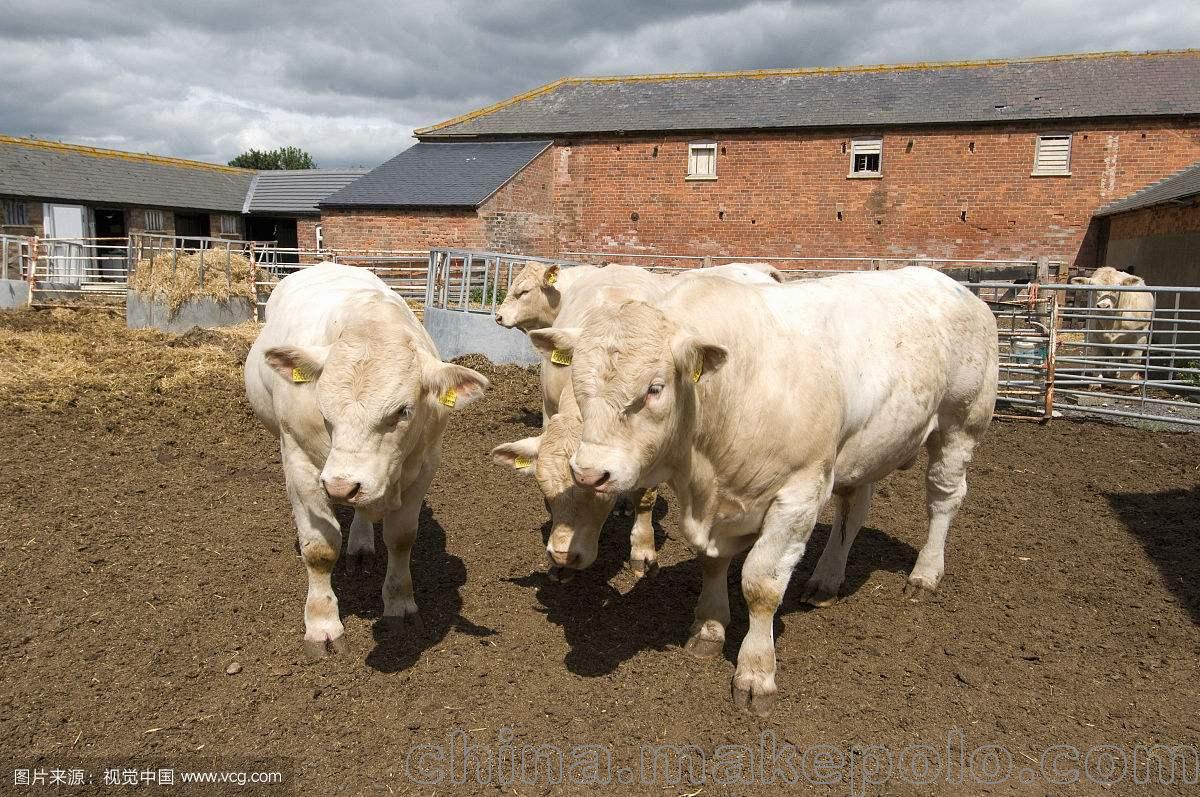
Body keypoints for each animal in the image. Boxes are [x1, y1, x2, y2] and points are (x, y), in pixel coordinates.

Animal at [243, 264, 487, 657]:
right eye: (323, 409)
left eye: (403, 411)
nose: (341, 486)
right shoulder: (298, 462)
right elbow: (319, 548)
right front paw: (322, 624)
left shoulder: (425, 464)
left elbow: (401, 537)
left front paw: (400, 606)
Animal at [532, 267, 993, 715]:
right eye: (578, 384)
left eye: (654, 388)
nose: (590, 473)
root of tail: (953, 286)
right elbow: (712, 562)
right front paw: (709, 627)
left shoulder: (799, 494)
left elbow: (761, 585)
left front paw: (755, 673)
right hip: (867, 450)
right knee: (854, 510)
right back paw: (826, 580)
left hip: (961, 424)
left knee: (943, 499)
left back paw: (925, 574)